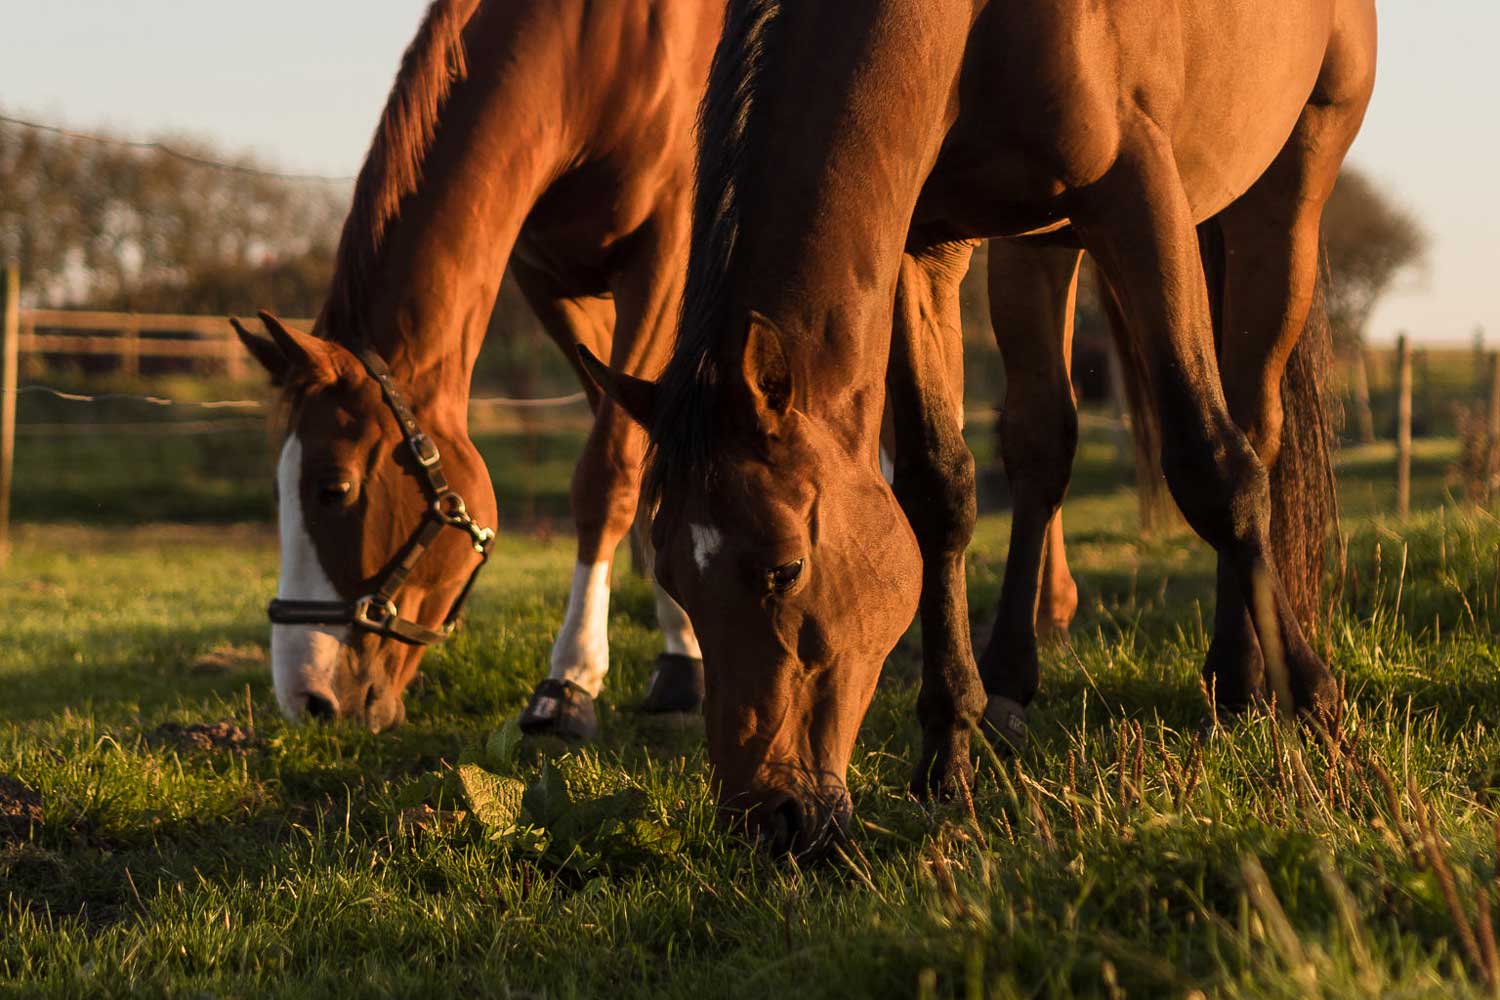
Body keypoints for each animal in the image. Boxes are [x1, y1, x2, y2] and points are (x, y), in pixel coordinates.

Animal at [234, 0, 720, 734]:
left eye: (334, 489)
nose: (306, 700)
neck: (599, 49)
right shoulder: (553, 283)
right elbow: (644, 468)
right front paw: (683, 657)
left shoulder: (663, 255)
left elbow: (611, 473)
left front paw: (570, 681)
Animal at [582, 0, 1374, 851]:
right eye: (671, 578)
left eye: (785, 568)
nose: (770, 821)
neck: (967, 25)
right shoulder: (921, 243)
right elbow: (938, 490)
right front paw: (946, 753)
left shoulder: (1140, 191)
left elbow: (1212, 467)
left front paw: (1322, 718)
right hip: (1043, 245)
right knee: (1042, 444)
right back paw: (1011, 683)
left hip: (1286, 188)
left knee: (1252, 426)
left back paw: (1238, 681)